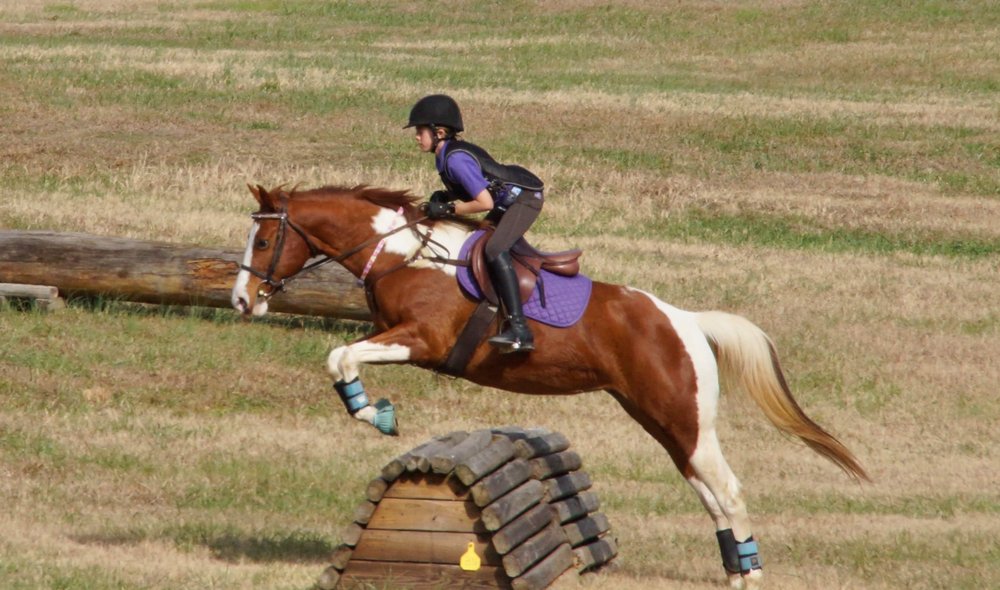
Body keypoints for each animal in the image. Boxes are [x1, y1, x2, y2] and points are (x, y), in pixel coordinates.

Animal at [230, 183, 868, 589]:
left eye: (261, 243)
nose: (241, 301)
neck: (403, 255)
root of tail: (686, 320)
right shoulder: (394, 335)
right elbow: (340, 356)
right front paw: (372, 410)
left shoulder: (421, 340)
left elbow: (340, 355)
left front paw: (377, 415)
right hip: (660, 419)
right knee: (707, 490)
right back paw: (734, 568)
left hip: (680, 418)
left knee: (727, 490)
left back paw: (750, 575)